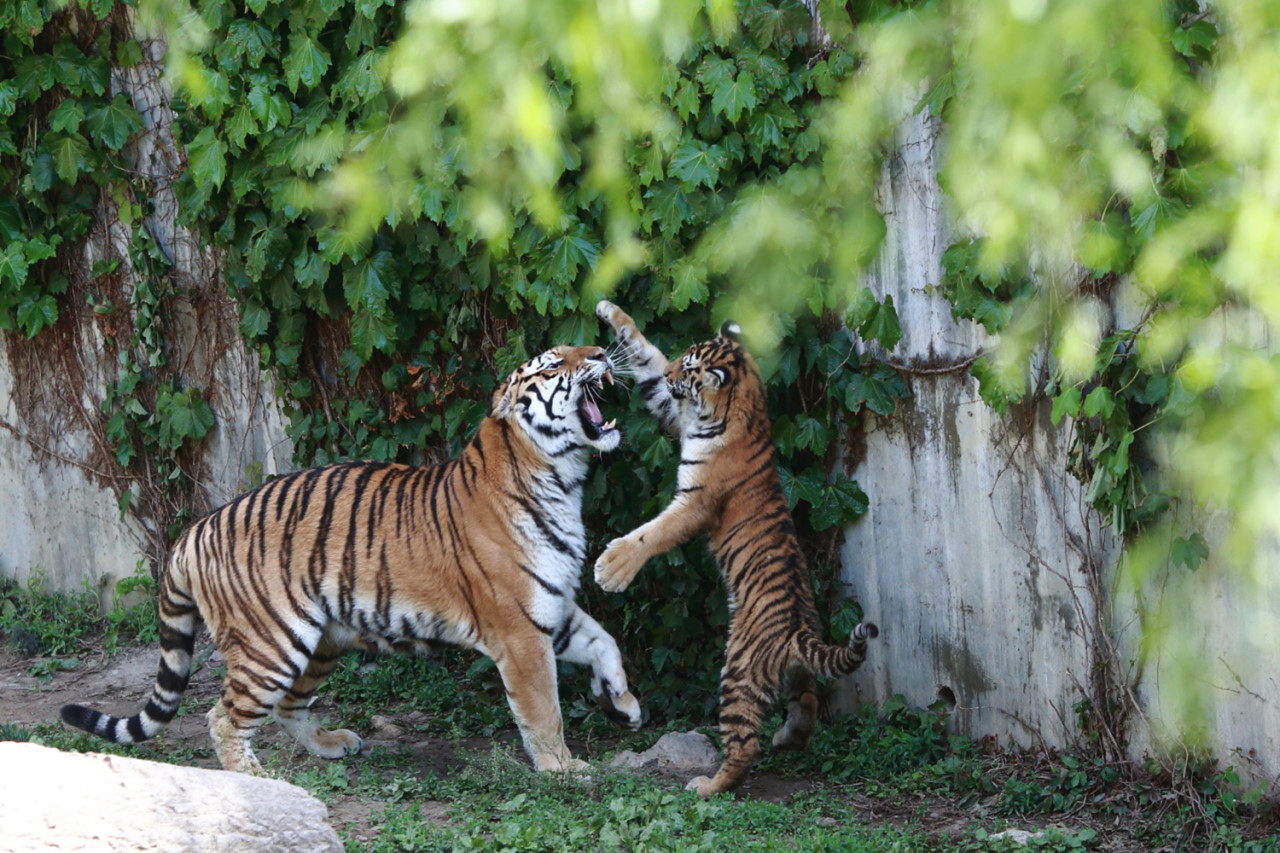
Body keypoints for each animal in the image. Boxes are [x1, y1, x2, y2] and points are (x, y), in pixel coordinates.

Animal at [60, 343, 640, 773]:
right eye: (552, 364)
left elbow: (606, 643)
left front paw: (624, 702)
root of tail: (195, 529)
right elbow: (543, 710)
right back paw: (257, 779)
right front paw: (564, 768)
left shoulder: (550, 608)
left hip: (320, 641)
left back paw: (331, 744)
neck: (561, 478)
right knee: (222, 717)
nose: (601, 352)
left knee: (287, 706)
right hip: (271, 643)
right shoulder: (519, 631)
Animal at [591, 302, 875, 794]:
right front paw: (611, 312)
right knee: (807, 703)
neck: (741, 403)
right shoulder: (671, 408)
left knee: (744, 746)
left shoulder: (695, 502)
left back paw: (707, 786)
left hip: (737, 671)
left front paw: (610, 570)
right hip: (797, 675)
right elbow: (644, 354)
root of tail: (797, 632)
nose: (672, 372)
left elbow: (651, 534)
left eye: (688, 368)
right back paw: (787, 738)